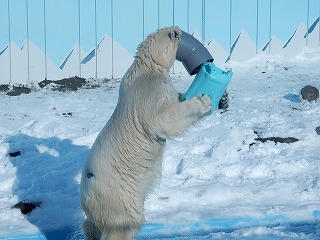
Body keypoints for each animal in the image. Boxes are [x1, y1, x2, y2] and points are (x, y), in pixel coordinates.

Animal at [79, 26, 212, 240]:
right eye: (176, 33)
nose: (178, 30)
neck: (147, 66)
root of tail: (85, 196)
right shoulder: (150, 90)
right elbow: (161, 119)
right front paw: (203, 101)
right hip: (118, 195)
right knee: (123, 224)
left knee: (91, 224)